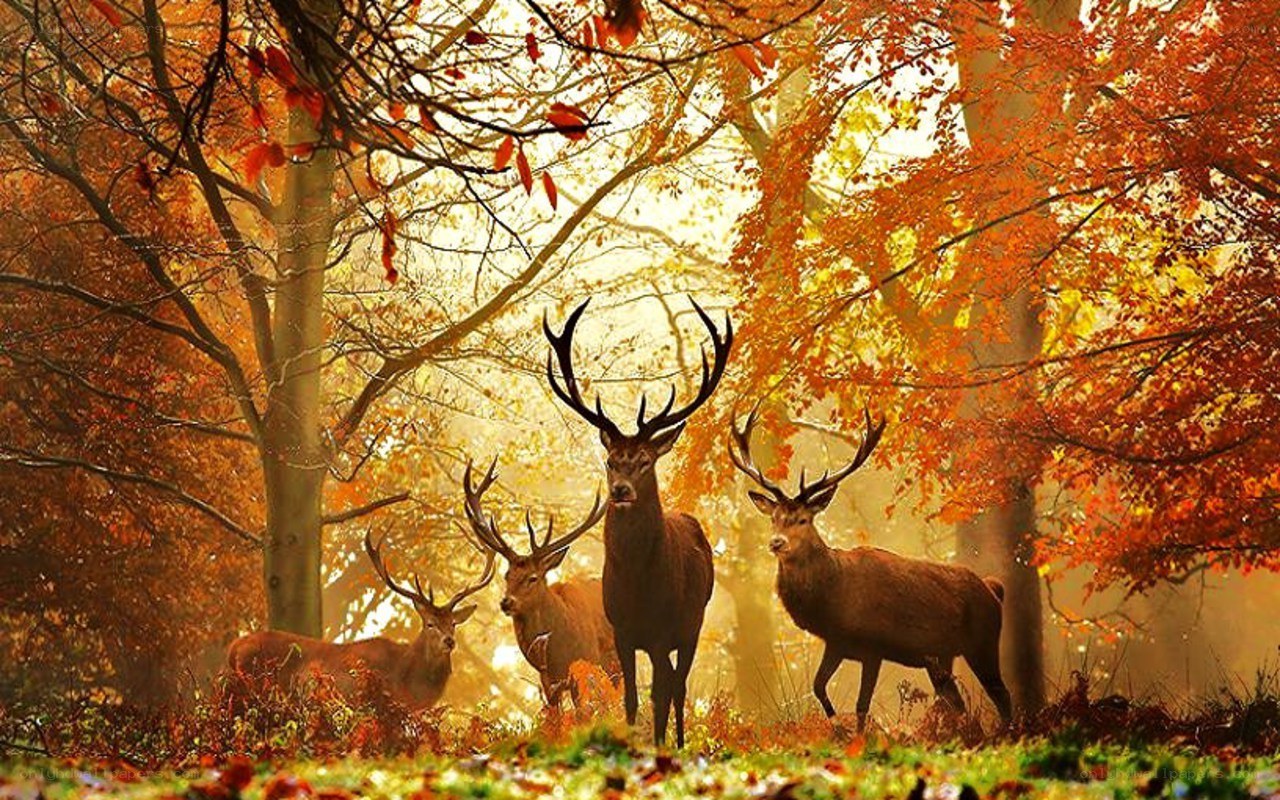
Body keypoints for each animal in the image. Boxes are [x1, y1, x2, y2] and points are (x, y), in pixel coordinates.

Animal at [543, 297, 730, 747]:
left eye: (645, 461)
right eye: (611, 461)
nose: (621, 490)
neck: (638, 585)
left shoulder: (663, 631)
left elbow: (660, 695)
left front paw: (661, 747)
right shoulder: (623, 633)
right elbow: (630, 698)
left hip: (693, 623)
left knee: (678, 686)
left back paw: (678, 743)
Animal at [728, 408, 1013, 730]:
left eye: (803, 519)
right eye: (773, 518)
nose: (776, 542)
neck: (834, 600)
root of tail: (993, 589)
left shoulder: (873, 647)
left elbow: (862, 705)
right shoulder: (837, 642)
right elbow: (818, 686)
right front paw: (836, 726)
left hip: (984, 641)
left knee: (1002, 696)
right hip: (941, 656)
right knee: (957, 702)